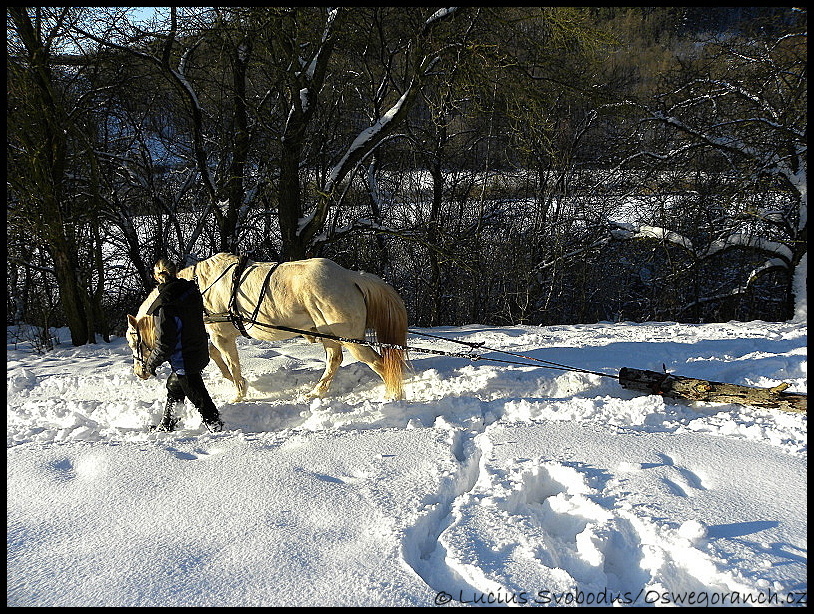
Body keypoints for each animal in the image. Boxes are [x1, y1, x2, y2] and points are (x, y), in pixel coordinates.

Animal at [126, 253, 408, 402]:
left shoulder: (221, 335)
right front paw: (232, 381)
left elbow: (231, 363)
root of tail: (351, 277)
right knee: (334, 361)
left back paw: (393, 395)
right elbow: (216, 357)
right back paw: (316, 392)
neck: (197, 288)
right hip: (328, 334)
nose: (139, 373)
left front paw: (238, 393)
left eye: (134, 340)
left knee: (378, 363)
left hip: (349, 338)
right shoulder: (218, 334)